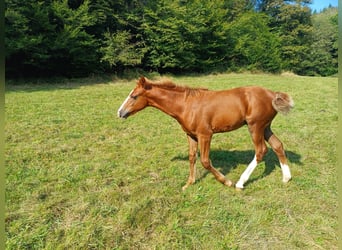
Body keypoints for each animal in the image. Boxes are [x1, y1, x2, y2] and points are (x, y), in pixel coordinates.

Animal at [117, 76, 294, 189]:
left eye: (134, 96)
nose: (120, 112)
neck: (185, 105)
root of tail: (272, 94)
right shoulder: (191, 135)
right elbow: (191, 157)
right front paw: (189, 183)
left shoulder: (205, 135)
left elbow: (205, 161)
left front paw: (226, 181)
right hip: (265, 127)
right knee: (278, 145)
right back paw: (286, 178)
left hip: (255, 126)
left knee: (260, 151)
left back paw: (240, 183)